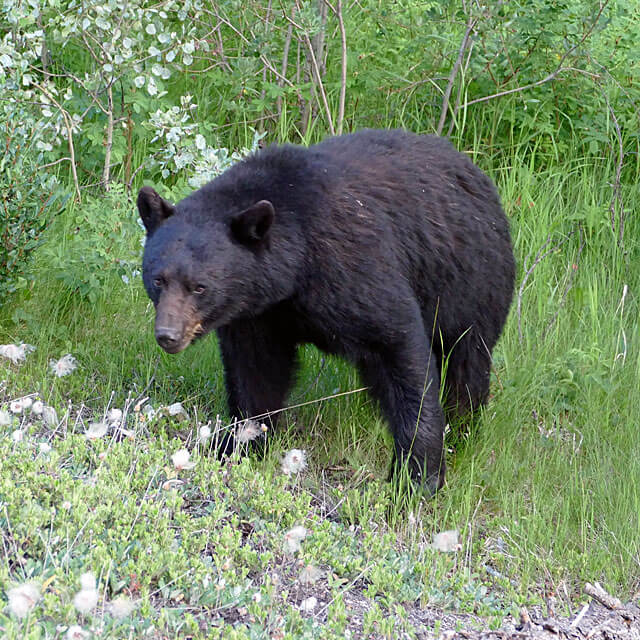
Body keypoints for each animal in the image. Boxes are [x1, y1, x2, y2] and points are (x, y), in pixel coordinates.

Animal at [139, 129, 516, 490]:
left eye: (199, 286)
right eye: (158, 279)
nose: (168, 335)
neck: (295, 268)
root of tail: (476, 172)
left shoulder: (354, 268)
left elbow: (399, 345)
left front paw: (417, 475)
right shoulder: (258, 313)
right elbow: (257, 373)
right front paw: (241, 445)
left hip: (471, 282)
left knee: (466, 363)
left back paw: (463, 429)